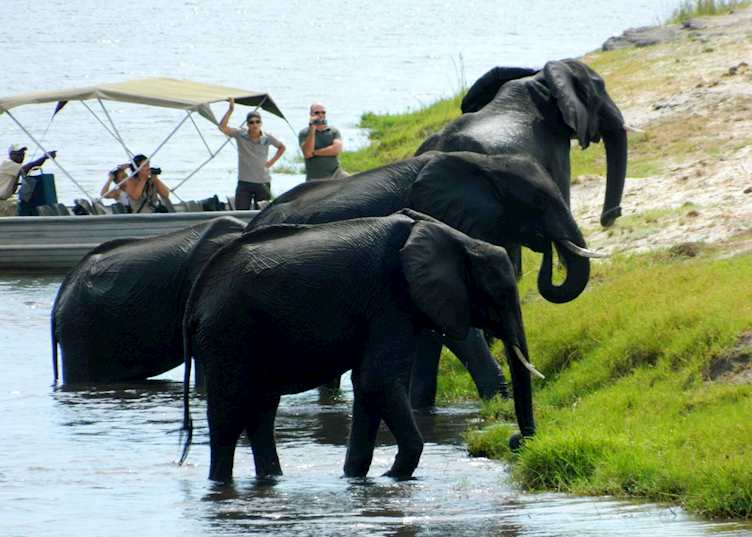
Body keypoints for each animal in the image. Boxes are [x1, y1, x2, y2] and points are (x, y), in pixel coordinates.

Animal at [179, 211, 534, 481]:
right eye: (500, 294)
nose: (516, 440)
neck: (455, 237)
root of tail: (196, 295)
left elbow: (367, 386)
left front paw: (355, 479)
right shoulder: (390, 300)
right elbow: (378, 382)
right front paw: (393, 477)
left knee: (261, 414)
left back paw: (272, 480)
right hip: (227, 334)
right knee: (229, 416)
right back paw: (221, 483)